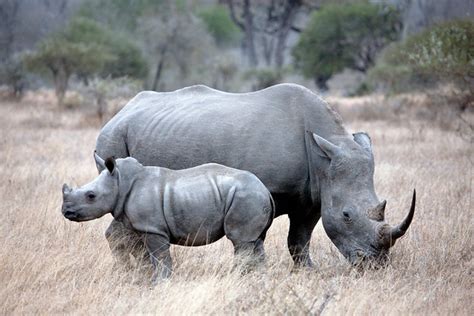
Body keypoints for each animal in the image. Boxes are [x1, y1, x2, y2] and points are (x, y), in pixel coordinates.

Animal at [61, 152, 274, 282]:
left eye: (91, 196)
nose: (65, 211)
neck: (121, 182)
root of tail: (265, 190)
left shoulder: (154, 229)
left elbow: (160, 257)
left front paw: (160, 283)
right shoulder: (142, 226)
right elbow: (143, 255)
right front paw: (148, 280)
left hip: (246, 196)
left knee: (240, 241)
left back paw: (236, 279)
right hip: (251, 197)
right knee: (256, 241)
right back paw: (258, 281)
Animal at [96, 83, 414, 266]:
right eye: (347, 215)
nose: (375, 265)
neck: (325, 154)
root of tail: (120, 112)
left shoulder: (313, 195)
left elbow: (299, 239)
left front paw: (307, 272)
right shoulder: (265, 189)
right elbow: (256, 239)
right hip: (113, 138)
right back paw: (132, 272)